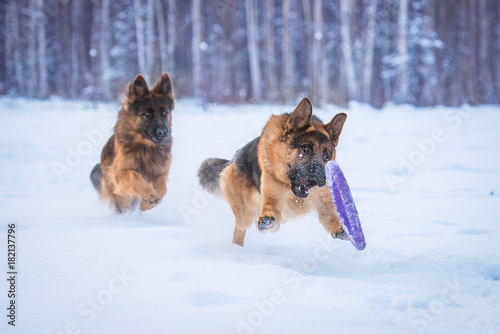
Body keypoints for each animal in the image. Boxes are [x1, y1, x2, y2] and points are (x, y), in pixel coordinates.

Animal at [91, 73, 175, 214]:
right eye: (147, 114)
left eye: (164, 113)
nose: (163, 132)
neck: (146, 147)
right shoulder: (118, 173)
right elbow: (133, 174)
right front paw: (149, 194)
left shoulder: (160, 172)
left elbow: (163, 188)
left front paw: (146, 205)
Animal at [198, 98, 348, 247]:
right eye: (306, 148)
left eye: (326, 156)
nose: (323, 177)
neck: (291, 189)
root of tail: (233, 160)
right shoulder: (272, 199)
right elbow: (270, 211)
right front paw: (266, 219)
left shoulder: (324, 203)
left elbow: (331, 217)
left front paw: (341, 228)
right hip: (246, 212)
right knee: (240, 230)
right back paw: (237, 249)